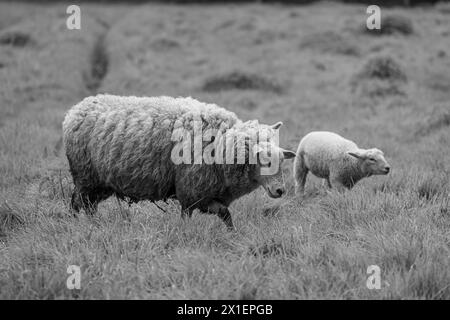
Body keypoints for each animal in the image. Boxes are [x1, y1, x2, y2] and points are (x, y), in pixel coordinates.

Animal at [62, 94, 296, 229]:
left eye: (282, 161)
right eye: (264, 161)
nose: (280, 191)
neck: (221, 144)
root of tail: (75, 110)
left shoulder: (206, 193)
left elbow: (224, 215)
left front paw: (232, 234)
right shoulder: (192, 191)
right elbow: (202, 215)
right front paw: (186, 234)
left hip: (99, 183)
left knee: (89, 206)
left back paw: (94, 224)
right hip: (85, 176)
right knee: (76, 204)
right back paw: (75, 226)